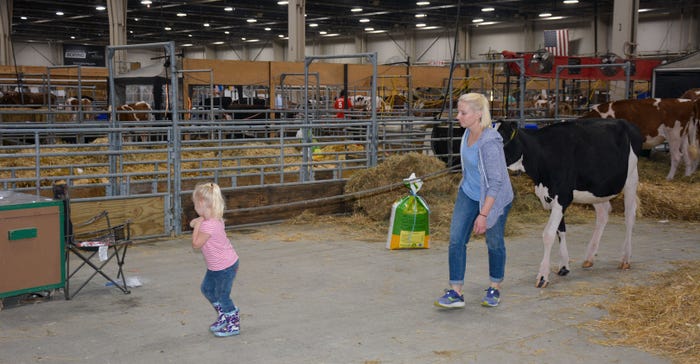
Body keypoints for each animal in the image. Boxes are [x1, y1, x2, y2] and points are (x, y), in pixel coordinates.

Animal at [494, 119, 644, 288]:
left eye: (501, 138)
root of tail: (625, 122)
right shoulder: (551, 198)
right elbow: (560, 231)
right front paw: (564, 266)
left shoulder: (562, 196)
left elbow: (548, 234)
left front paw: (543, 276)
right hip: (596, 188)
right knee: (603, 213)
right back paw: (589, 257)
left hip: (631, 178)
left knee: (629, 216)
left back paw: (625, 258)